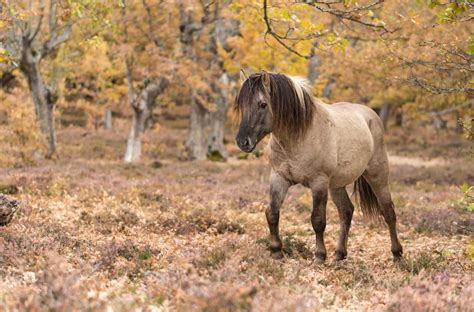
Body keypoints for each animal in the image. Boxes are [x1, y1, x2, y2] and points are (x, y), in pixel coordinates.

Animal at [235, 71, 402, 264]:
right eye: (241, 105)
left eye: (262, 104)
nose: (242, 141)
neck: (299, 136)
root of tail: (371, 115)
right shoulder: (279, 178)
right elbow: (272, 213)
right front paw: (276, 252)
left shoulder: (319, 182)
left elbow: (318, 220)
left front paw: (319, 256)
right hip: (337, 184)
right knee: (346, 212)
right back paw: (339, 255)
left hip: (377, 176)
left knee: (388, 211)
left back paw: (397, 254)